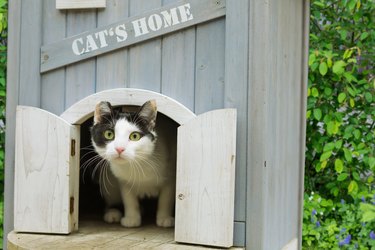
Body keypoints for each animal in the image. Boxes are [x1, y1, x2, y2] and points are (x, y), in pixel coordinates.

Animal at [92, 99, 178, 227]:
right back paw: (113, 212)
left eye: (135, 136)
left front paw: (164, 218)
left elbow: (166, 198)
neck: (137, 164)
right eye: (109, 134)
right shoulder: (123, 180)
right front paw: (131, 218)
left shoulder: (171, 176)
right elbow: (129, 199)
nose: (119, 149)